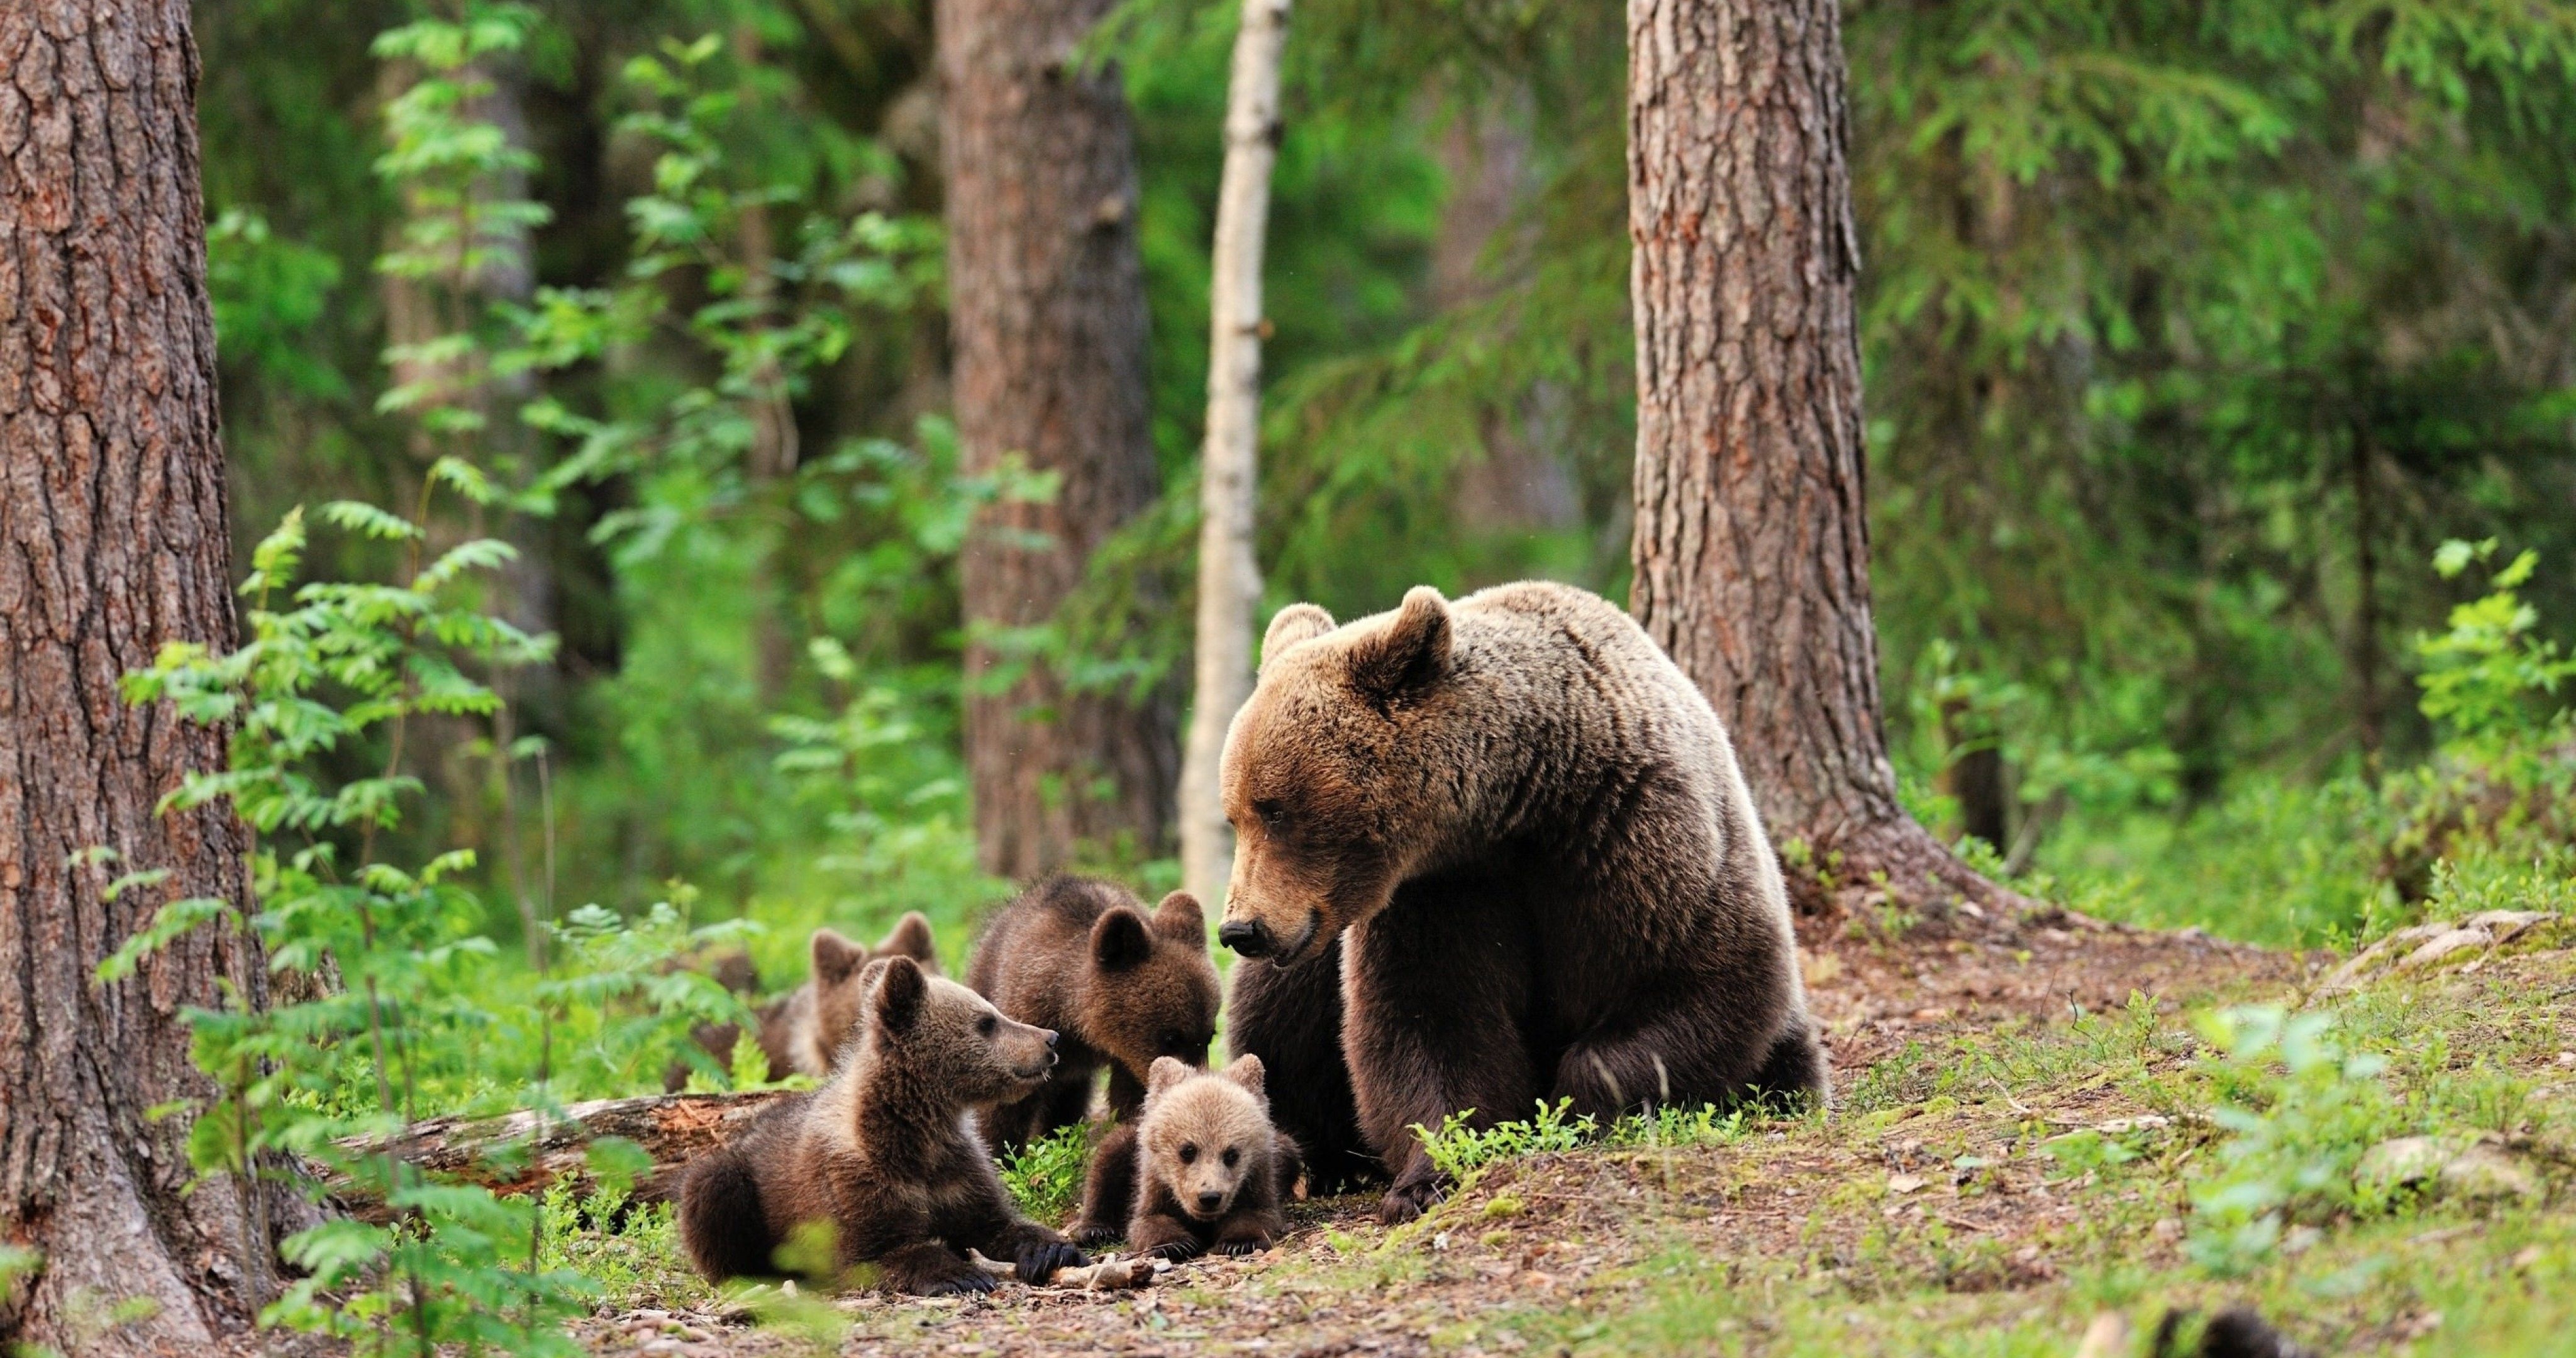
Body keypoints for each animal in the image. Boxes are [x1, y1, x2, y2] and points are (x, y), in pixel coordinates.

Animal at [1216, 585, 1823, 1221]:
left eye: (1275, 810)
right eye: (1235, 814)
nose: (1241, 930)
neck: (1520, 808)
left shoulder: (1637, 835)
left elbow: (1694, 980)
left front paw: (1576, 1109)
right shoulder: (1439, 894)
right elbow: (1430, 1019)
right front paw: (1427, 1177)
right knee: (1277, 1020)